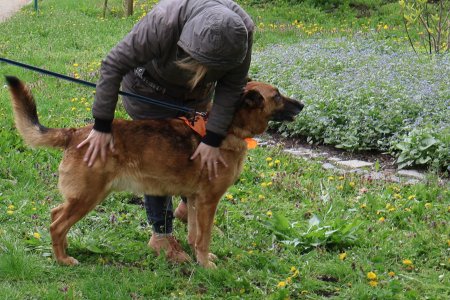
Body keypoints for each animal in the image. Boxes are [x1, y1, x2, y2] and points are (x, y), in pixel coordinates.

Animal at [5, 76, 302, 268]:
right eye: (277, 96)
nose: (301, 105)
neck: (227, 129)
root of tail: (75, 133)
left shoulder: (195, 200)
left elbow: (194, 235)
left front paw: (199, 259)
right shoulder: (208, 202)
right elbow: (204, 238)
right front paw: (206, 266)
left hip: (83, 197)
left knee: (56, 216)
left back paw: (64, 251)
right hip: (88, 197)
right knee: (56, 225)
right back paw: (62, 260)